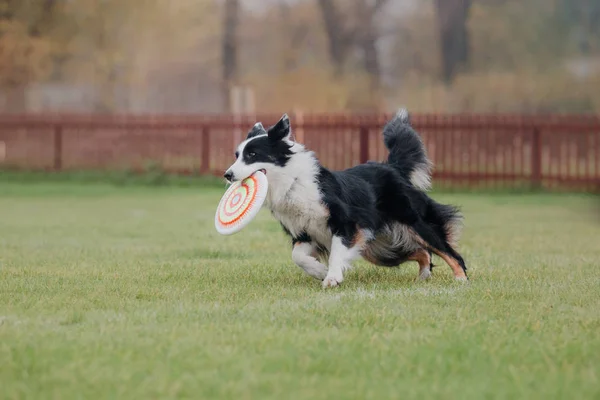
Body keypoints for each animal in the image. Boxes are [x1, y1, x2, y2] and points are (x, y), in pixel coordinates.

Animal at [225, 109, 468, 288]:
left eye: (252, 155)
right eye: (236, 156)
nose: (227, 175)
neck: (293, 183)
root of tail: (392, 167)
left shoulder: (347, 224)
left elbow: (336, 253)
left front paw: (332, 277)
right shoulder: (304, 233)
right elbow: (297, 257)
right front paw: (319, 271)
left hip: (413, 223)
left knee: (448, 252)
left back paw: (461, 280)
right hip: (379, 248)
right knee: (422, 252)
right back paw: (423, 276)